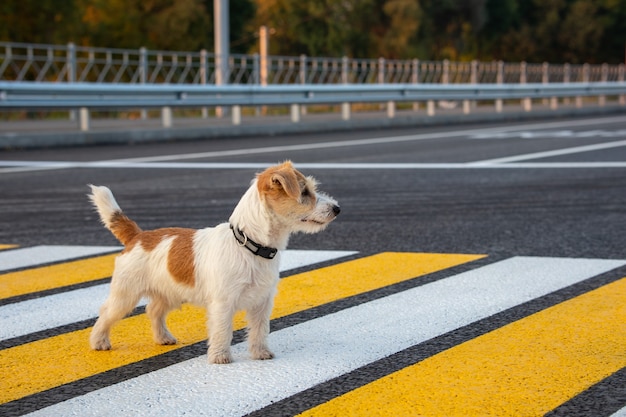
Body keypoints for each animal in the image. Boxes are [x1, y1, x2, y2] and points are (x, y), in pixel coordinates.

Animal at [88, 161, 338, 362]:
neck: (249, 244)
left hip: (169, 292)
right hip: (126, 295)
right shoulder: (223, 304)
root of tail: (137, 236)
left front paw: (260, 353)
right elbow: (222, 331)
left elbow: (259, 329)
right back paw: (99, 341)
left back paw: (163, 337)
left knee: (154, 310)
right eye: (304, 192)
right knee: (106, 312)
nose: (337, 208)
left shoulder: (262, 302)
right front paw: (220, 357)